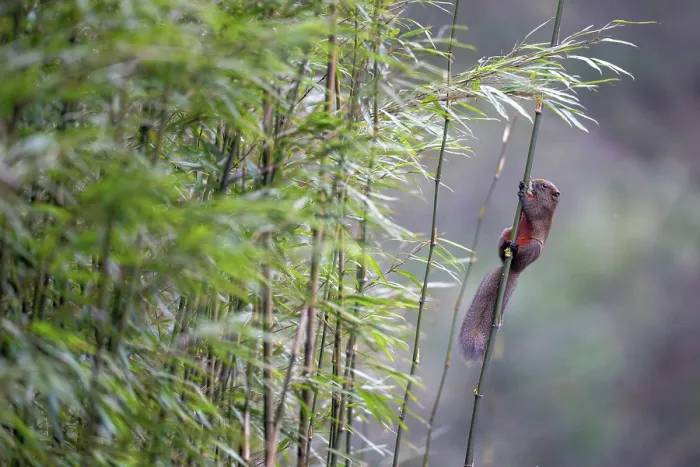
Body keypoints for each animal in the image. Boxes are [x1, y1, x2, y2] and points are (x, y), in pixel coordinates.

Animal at [459, 178, 560, 362]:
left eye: (544, 186)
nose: (534, 181)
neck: (544, 201)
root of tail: (513, 269)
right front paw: (522, 186)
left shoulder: (540, 212)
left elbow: (531, 209)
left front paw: (523, 194)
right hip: (507, 231)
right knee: (503, 244)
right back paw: (506, 247)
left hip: (533, 247)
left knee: (520, 253)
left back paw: (514, 248)